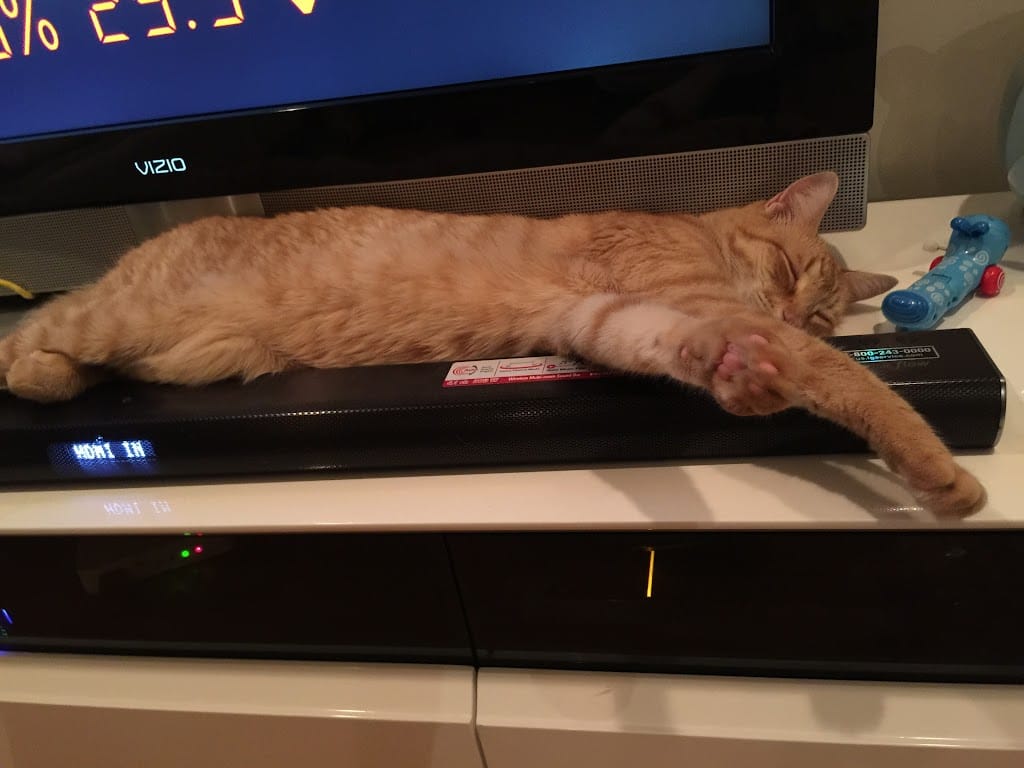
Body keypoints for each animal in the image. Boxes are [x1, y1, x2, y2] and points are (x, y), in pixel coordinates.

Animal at [0, 171, 985, 518]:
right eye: (785, 268)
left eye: (819, 310)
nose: (785, 312)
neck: (696, 235)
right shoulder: (688, 294)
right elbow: (859, 389)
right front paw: (938, 472)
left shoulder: (608, 318)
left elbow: (692, 349)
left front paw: (740, 372)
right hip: (122, 315)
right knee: (35, 330)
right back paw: (35, 367)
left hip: (187, 352)